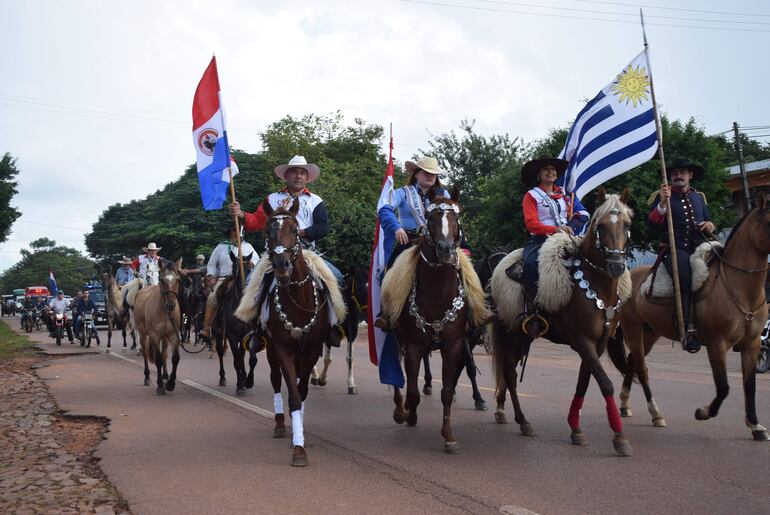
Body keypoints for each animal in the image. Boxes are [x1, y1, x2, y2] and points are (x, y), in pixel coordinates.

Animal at [134, 260, 183, 398]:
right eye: (162, 280)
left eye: (178, 279)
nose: (171, 305)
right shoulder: (154, 336)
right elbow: (158, 360)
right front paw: (160, 387)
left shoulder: (173, 335)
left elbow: (174, 358)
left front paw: (170, 383)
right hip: (143, 334)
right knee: (146, 353)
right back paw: (147, 377)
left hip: (164, 337)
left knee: (164, 353)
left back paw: (165, 376)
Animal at [308, 266, 368, 396]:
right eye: (359, 288)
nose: (367, 314)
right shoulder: (329, 334)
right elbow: (327, 359)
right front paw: (322, 379)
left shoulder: (352, 332)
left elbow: (350, 358)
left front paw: (351, 384)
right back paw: (314, 375)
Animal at [488, 189, 632, 456]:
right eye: (601, 225)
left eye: (626, 224)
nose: (616, 266)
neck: (593, 286)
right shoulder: (581, 341)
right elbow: (605, 383)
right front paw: (619, 437)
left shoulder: (599, 344)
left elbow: (584, 382)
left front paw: (576, 429)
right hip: (510, 332)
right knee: (510, 374)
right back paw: (523, 421)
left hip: (524, 337)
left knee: (510, 372)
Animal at [608, 192, 768, 440]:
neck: (739, 288)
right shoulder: (717, 343)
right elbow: (723, 387)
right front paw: (703, 412)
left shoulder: (751, 344)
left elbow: (749, 385)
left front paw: (755, 424)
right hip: (633, 329)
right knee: (642, 368)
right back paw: (656, 413)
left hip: (650, 333)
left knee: (634, 362)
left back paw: (625, 405)